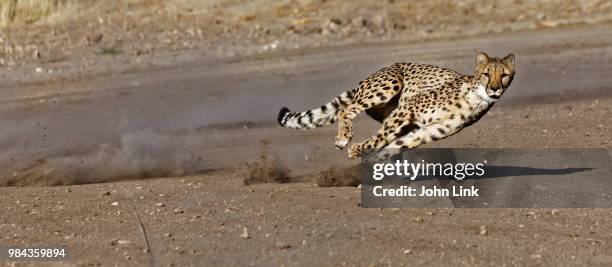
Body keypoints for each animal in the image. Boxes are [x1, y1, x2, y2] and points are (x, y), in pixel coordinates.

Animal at [280, 52, 512, 161]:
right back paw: (343, 138)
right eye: (487, 74)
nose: (494, 89)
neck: (476, 97)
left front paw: (370, 161)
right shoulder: (407, 108)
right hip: (390, 85)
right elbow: (379, 139)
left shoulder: (426, 131)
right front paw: (356, 150)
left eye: (504, 76)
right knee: (347, 110)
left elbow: (396, 145)